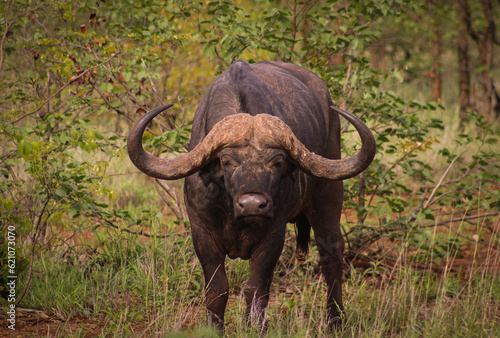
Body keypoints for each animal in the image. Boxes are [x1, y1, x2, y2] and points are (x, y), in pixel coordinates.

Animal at [128, 60, 376, 330]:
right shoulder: (202, 232)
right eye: (226, 161)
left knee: (330, 254)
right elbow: (217, 290)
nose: (252, 205)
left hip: (328, 193)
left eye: (277, 162)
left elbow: (256, 289)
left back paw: (334, 322)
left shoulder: (273, 234)